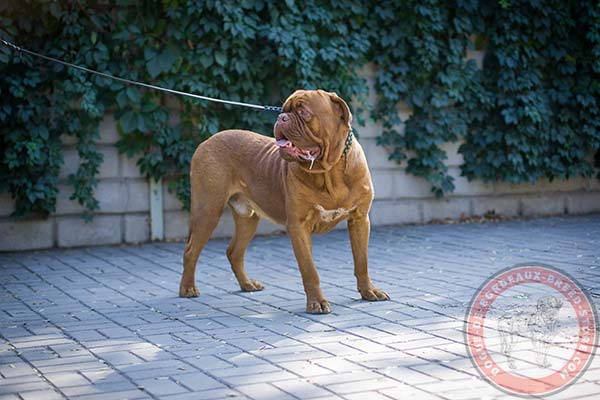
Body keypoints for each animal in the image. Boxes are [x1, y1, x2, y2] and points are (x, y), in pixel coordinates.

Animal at [178, 89, 392, 314]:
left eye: (304, 112)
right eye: (283, 110)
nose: (281, 117)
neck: (329, 172)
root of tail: (206, 141)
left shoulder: (359, 220)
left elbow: (362, 261)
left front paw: (369, 291)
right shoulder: (299, 226)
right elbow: (309, 269)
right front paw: (316, 302)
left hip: (247, 218)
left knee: (234, 252)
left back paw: (247, 284)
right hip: (208, 209)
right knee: (191, 251)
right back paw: (188, 288)